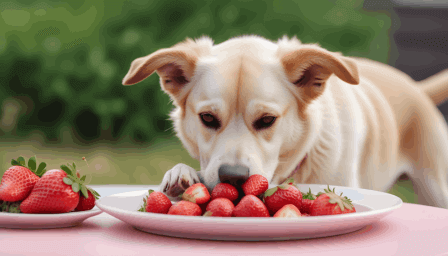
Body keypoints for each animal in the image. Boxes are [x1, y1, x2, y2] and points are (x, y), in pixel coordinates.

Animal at [122, 34, 448, 208]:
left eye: (267, 120)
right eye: (208, 118)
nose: (233, 177)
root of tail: (417, 88)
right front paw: (180, 175)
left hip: (436, 188)